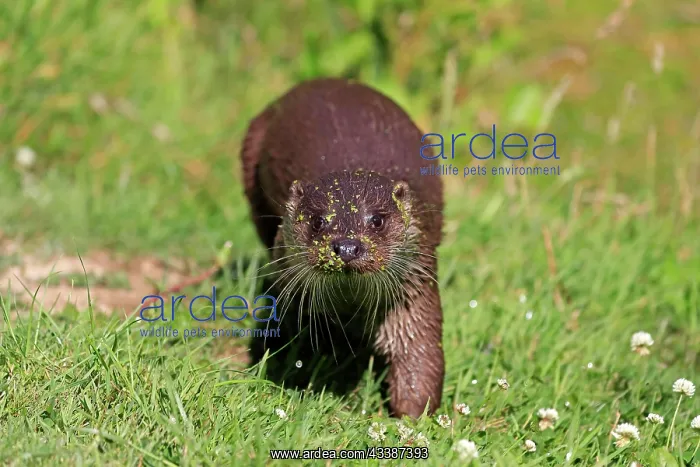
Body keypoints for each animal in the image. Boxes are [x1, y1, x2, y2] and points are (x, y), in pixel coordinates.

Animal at [240, 78, 444, 419]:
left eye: (377, 220)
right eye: (318, 221)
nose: (347, 246)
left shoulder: (414, 292)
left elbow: (419, 350)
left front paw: (413, 418)